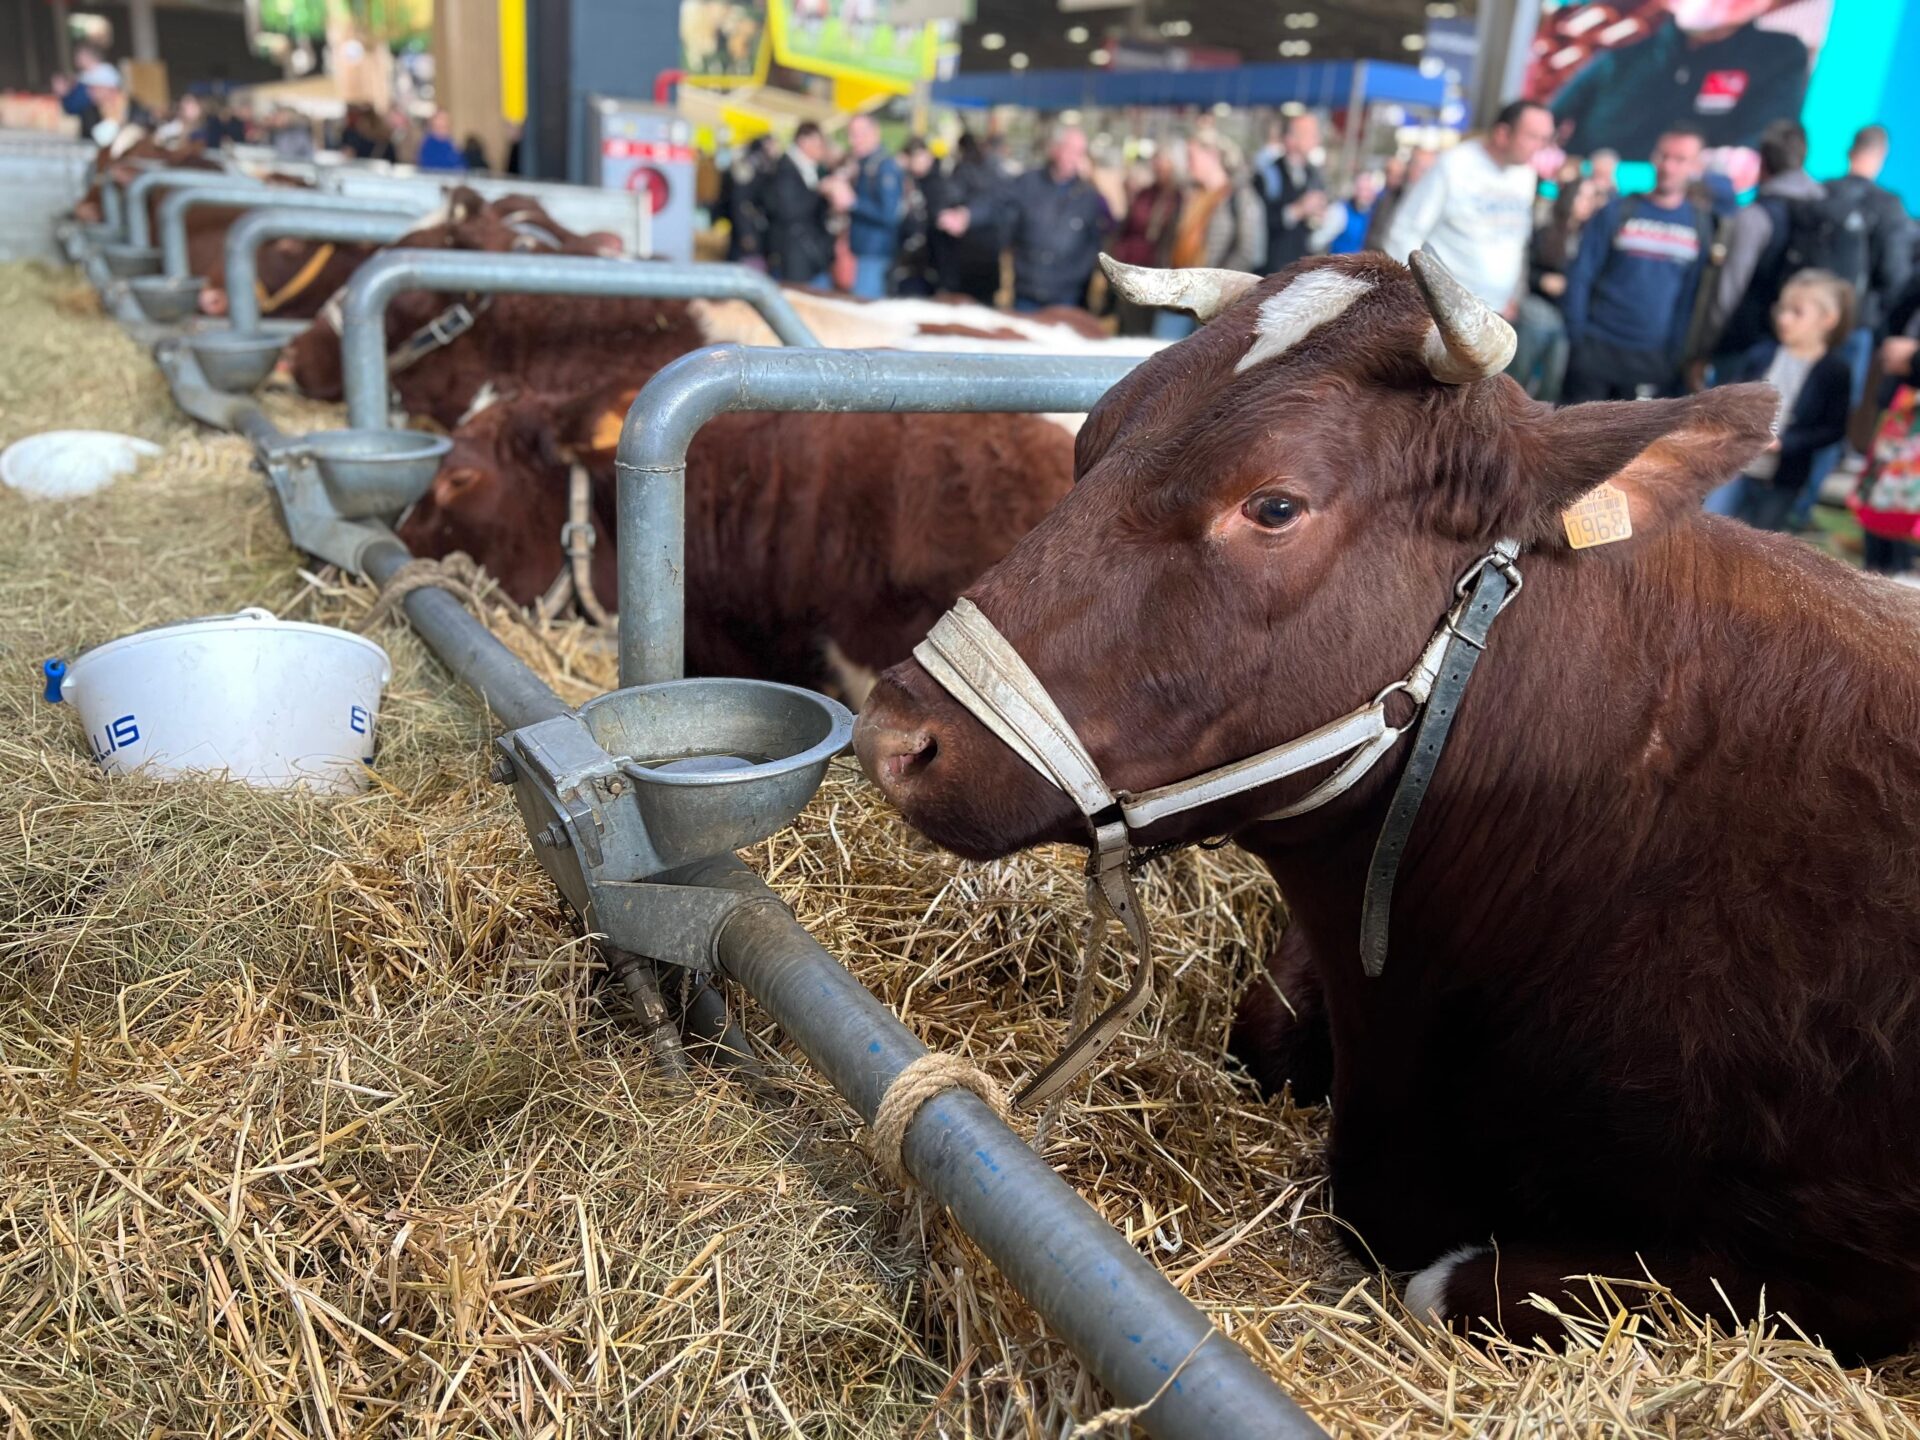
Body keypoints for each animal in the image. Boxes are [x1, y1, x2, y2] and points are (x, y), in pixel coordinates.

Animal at [856, 247, 1920, 1367]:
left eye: (1274, 506)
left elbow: (1444, 1285)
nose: (892, 735)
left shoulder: (1840, 1272)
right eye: (1090, 439)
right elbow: (1263, 1021)